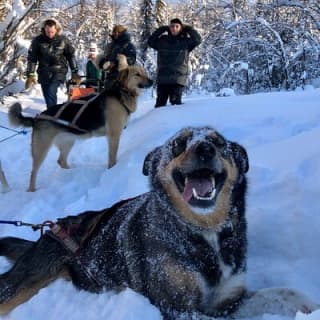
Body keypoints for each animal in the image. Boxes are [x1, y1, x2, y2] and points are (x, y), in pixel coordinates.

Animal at [0, 127, 318, 318]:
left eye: (219, 142)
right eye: (178, 143)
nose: (205, 149)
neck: (204, 232)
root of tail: (48, 231)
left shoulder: (228, 300)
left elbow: (282, 292)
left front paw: (310, 306)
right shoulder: (176, 307)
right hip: (19, 286)